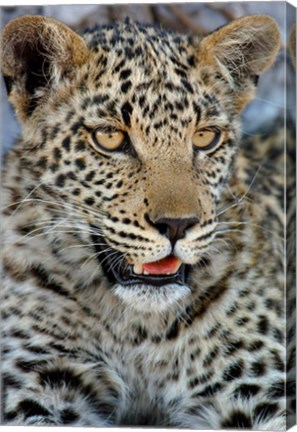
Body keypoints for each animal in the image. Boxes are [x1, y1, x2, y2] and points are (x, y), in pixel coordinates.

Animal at [0, 12, 294, 428]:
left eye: (205, 138)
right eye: (109, 137)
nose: (177, 225)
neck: (139, 332)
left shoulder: (256, 387)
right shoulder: (40, 382)